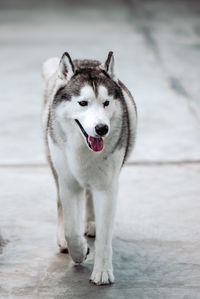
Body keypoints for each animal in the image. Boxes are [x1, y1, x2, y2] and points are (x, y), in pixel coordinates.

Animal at [41, 52, 137, 286]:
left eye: (106, 103)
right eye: (82, 103)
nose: (102, 129)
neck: (83, 147)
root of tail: (86, 60)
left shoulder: (108, 187)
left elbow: (104, 235)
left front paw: (102, 271)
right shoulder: (68, 184)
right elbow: (70, 228)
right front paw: (78, 251)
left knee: (90, 194)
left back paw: (91, 221)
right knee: (62, 205)